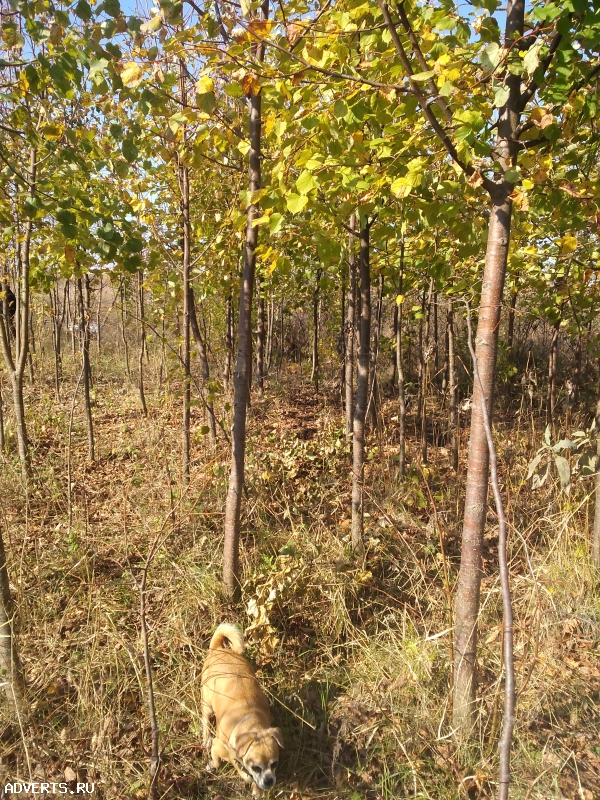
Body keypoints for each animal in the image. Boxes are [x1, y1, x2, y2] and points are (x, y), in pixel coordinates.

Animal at [202, 624, 284, 792]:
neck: (250, 724)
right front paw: (212, 765)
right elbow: (222, 763)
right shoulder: (218, 746)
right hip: (207, 703)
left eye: (274, 764)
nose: (269, 781)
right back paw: (206, 737)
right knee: (205, 718)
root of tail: (218, 650)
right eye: (256, 767)